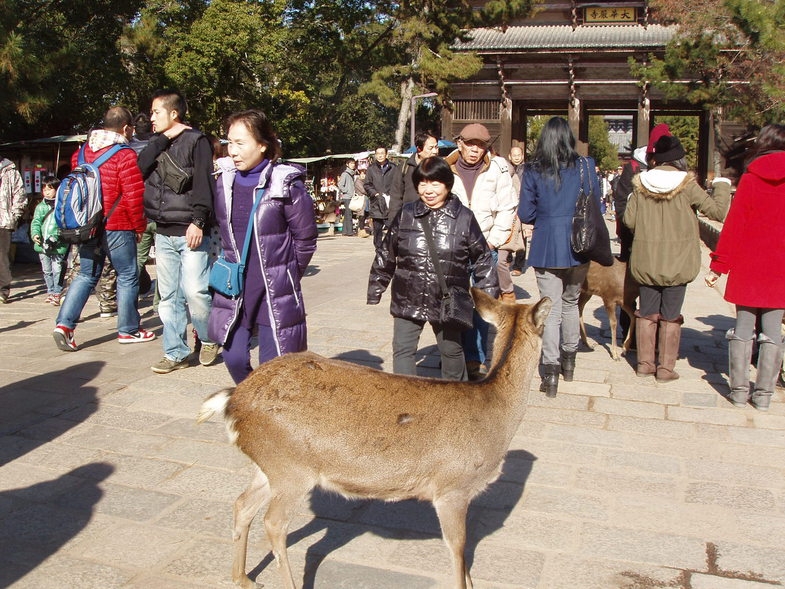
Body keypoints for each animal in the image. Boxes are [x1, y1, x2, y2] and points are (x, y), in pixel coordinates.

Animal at [199, 290, 548, 588]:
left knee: (242, 504)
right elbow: (458, 548)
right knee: (274, 523)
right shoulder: (452, 487)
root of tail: (234, 400)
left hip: (269, 464)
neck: (495, 420)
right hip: (292, 469)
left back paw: (243, 578)